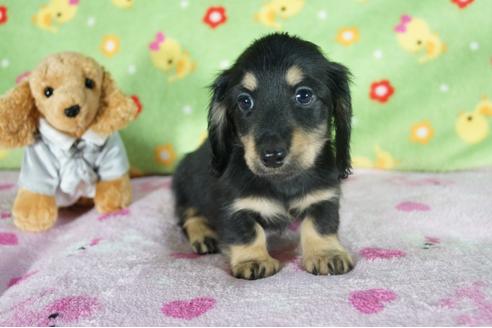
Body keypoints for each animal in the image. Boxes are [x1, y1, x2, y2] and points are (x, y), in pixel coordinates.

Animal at [173, 32, 354, 280]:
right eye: (244, 100)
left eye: (304, 95)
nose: (271, 156)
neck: (282, 182)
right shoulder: (233, 205)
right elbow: (247, 232)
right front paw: (253, 259)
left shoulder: (324, 196)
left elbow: (321, 224)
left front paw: (326, 253)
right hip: (185, 183)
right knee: (188, 214)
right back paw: (204, 234)